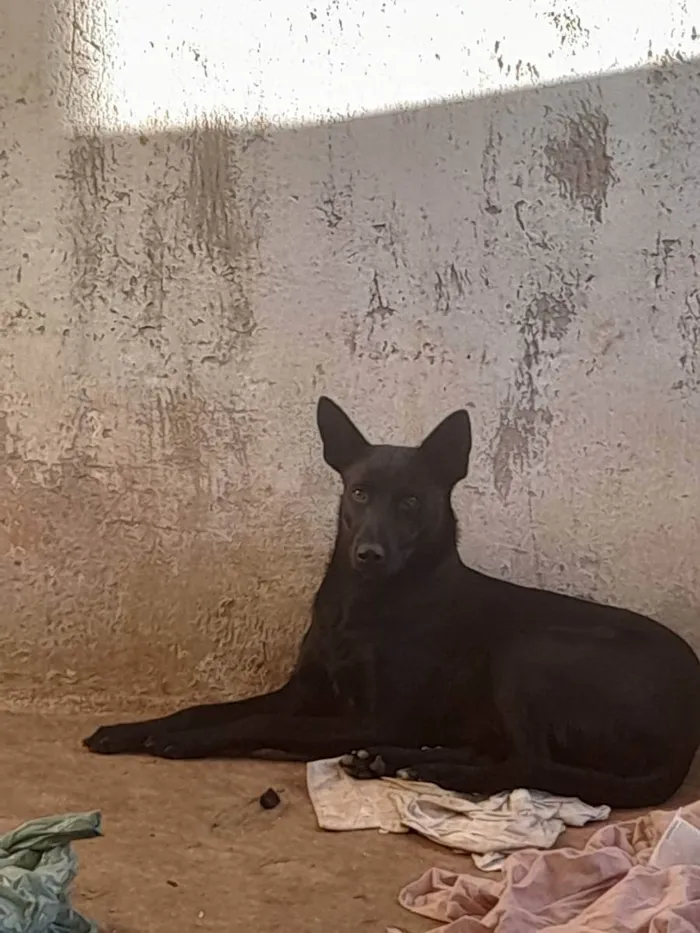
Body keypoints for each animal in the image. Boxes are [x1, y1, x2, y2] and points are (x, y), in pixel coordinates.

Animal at [83, 396, 700, 804]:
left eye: (409, 502)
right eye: (359, 492)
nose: (369, 554)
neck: (363, 605)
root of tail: (686, 735)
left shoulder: (375, 714)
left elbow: (261, 723)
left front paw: (183, 740)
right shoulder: (303, 691)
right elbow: (209, 707)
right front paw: (131, 729)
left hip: (532, 650)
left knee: (526, 762)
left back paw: (433, 771)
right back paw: (398, 761)